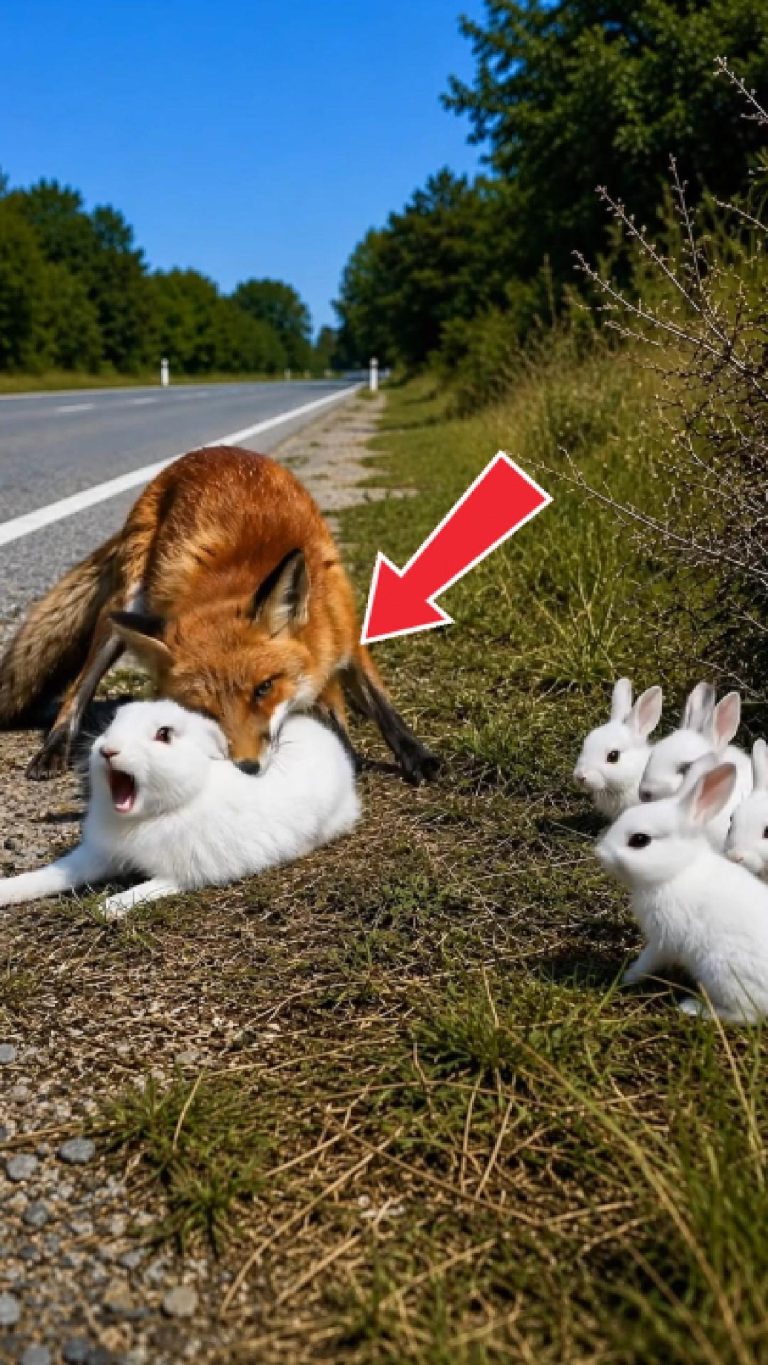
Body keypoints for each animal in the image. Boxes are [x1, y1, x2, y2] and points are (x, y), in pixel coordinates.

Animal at [0, 445, 438, 783]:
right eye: (204, 710)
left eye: (263, 688)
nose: (246, 767)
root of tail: (201, 453)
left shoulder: (346, 633)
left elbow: (382, 704)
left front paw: (417, 756)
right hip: (122, 609)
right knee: (77, 688)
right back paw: (54, 748)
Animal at [0, 700, 360, 920]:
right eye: (112, 722)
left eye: (164, 734)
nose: (108, 750)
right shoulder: (96, 855)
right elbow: (53, 875)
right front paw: (8, 890)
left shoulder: (182, 872)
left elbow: (146, 888)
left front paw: (108, 907)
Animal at [597, 758, 768, 1022]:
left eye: (639, 840)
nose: (601, 853)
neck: (678, 870)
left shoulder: (663, 940)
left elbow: (648, 961)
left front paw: (627, 976)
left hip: (722, 974)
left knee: (746, 1015)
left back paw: (692, 1007)